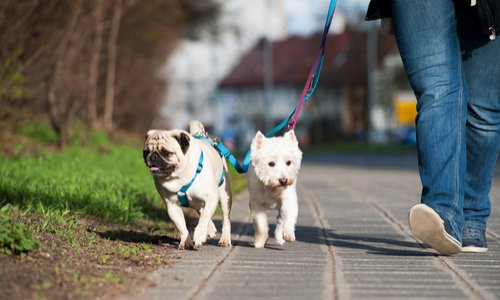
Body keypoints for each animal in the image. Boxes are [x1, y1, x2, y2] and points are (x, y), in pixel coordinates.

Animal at [143, 120, 232, 250]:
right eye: (146, 152)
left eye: (166, 152)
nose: (153, 156)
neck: (179, 176)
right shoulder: (172, 206)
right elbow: (182, 227)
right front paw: (186, 241)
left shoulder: (211, 198)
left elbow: (204, 217)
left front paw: (199, 234)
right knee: (201, 210)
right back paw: (210, 229)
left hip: (224, 196)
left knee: (225, 219)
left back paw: (224, 239)